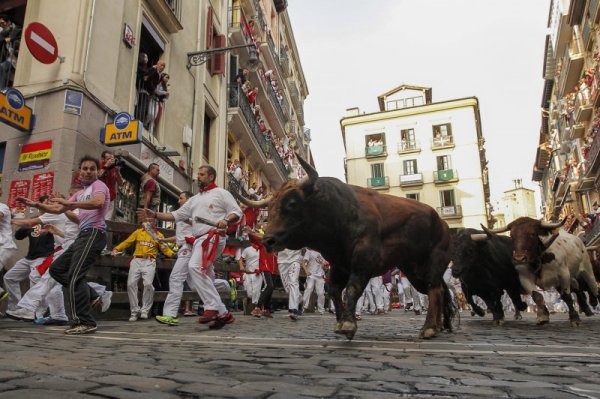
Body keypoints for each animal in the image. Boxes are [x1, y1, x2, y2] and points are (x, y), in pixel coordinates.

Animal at [239, 155, 454, 340]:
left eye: (291, 203)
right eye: (269, 207)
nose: (268, 240)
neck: (339, 213)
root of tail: (442, 224)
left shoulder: (363, 262)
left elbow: (352, 288)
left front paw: (348, 324)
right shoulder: (339, 265)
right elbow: (335, 291)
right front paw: (341, 322)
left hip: (432, 263)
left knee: (434, 290)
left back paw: (428, 328)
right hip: (414, 271)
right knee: (439, 290)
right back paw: (440, 326)